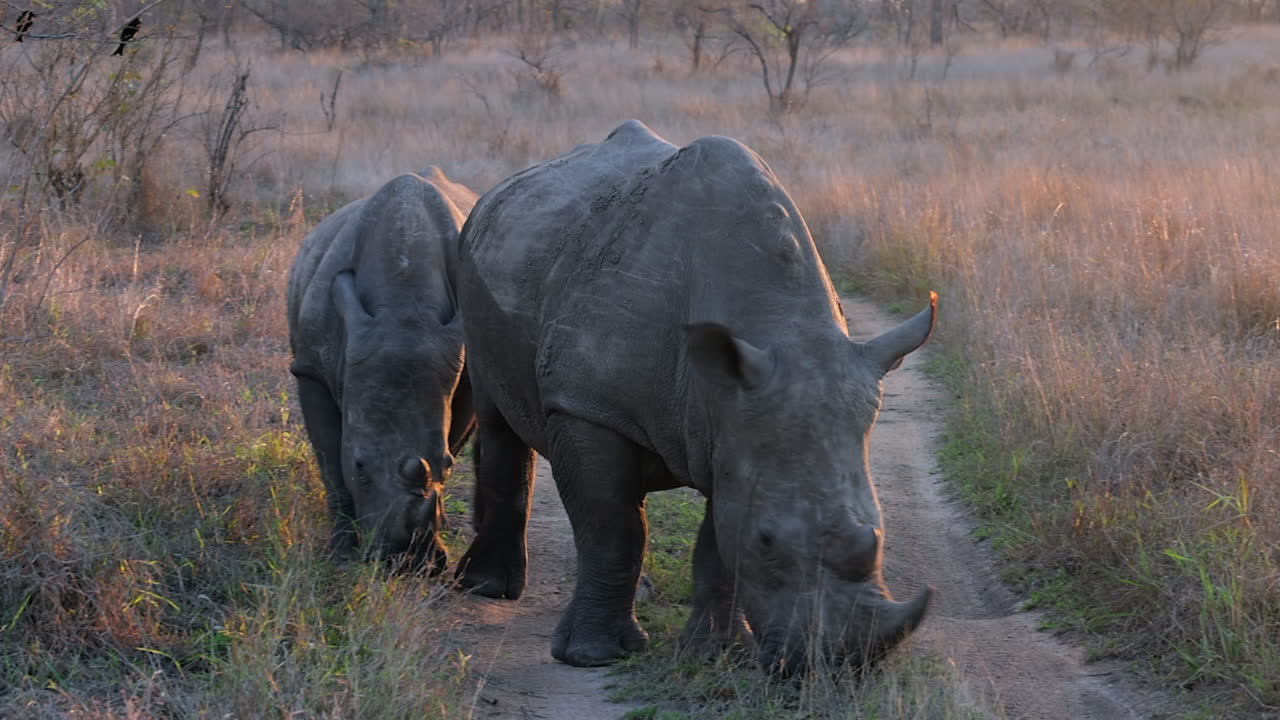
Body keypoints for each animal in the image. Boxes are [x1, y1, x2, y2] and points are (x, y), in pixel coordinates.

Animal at [288, 167, 477, 573]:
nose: (404, 562)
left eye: (448, 465)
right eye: (360, 465)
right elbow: (331, 464)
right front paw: (340, 554)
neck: (404, 308)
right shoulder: (310, 369)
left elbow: (453, 437)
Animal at [451, 120, 935, 673]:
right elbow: (611, 528)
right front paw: (591, 656)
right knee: (499, 423)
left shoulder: (732, 425)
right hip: (476, 267)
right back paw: (488, 589)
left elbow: (719, 542)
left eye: (879, 536)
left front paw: (716, 655)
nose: (836, 663)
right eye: (768, 541)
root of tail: (493, 192)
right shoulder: (588, 408)